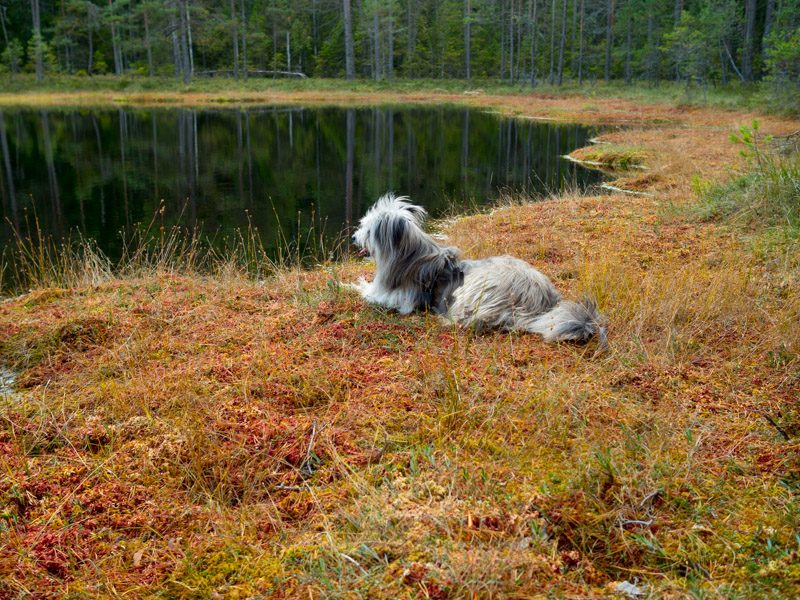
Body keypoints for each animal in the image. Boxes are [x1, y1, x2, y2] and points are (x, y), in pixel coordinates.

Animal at [352, 195, 608, 344]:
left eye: (367, 230)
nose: (354, 237)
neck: (410, 256)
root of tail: (544, 303)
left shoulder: (395, 299)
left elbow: (365, 291)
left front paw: (353, 284)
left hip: (480, 287)